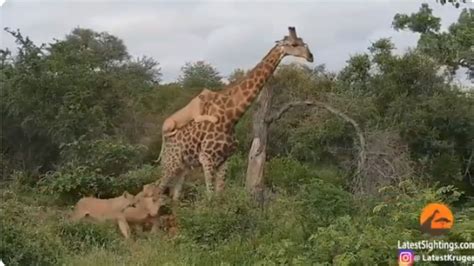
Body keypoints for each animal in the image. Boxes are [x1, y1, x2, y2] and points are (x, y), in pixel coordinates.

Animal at [154, 27, 312, 202]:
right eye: (293, 44)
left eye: (303, 41)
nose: (310, 56)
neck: (230, 119)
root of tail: (165, 142)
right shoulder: (207, 158)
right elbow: (210, 197)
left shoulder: (225, 160)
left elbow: (220, 194)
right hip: (170, 164)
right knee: (158, 190)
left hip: (183, 167)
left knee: (175, 196)